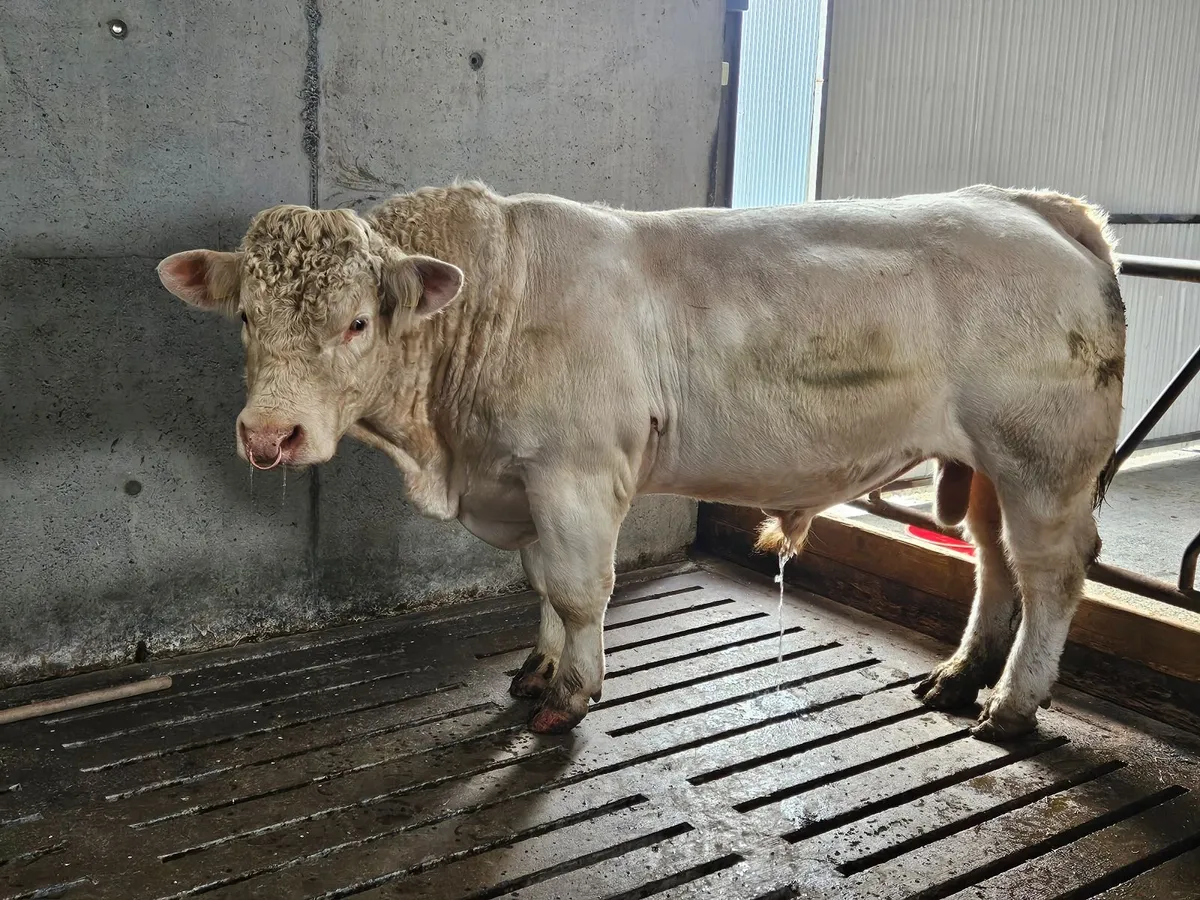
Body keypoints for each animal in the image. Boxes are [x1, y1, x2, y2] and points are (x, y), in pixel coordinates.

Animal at [157, 183, 1125, 741]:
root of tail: (1035, 206)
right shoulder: (522, 479)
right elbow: (543, 586)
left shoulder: (576, 473)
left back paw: (1012, 703)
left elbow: (581, 589)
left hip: (1045, 462)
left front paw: (574, 692)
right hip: (996, 468)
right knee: (995, 564)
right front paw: (538, 668)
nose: (269, 436)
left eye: (357, 322)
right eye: (244, 317)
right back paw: (961, 675)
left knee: (1051, 575)